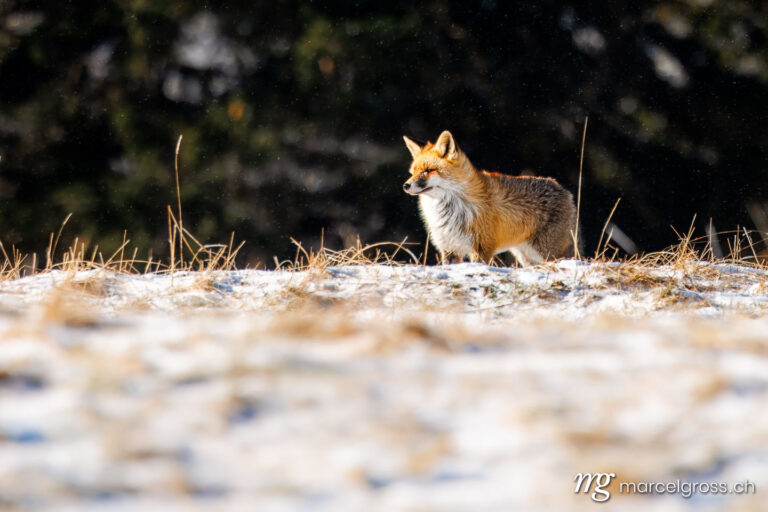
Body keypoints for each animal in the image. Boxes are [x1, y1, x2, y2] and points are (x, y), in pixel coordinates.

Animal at [402, 130, 576, 266]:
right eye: (413, 172)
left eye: (428, 170)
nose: (406, 185)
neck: (448, 211)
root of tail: (564, 190)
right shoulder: (449, 248)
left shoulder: (482, 247)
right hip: (526, 256)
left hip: (547, 252)